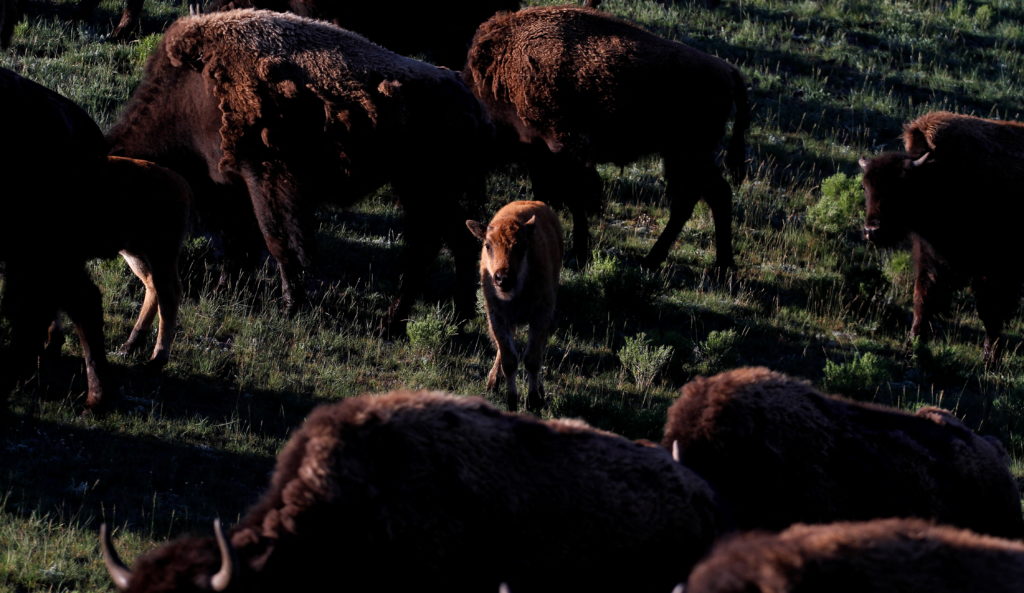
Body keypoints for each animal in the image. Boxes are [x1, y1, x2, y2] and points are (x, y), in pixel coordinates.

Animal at [107, 10, 494, 336]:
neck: (192, 91)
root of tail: (471, 101)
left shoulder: (267, 179)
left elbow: (279, 242)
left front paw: (290, 306)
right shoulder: (236, 186)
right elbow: (238, 241)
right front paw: (228, 290)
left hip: (424, 191)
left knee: (423, 252)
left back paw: (395, 323)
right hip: (430, 193)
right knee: (456, 244)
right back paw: (456, 319)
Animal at [464, 6, 748, 266]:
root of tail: (729, 70)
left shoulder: (562, 149)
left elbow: (574, 197)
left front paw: (579, 253)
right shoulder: (543, 155)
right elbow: (551, 194)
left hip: (689, 155)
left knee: (706, 197)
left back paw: (710, 265)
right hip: (681, 156)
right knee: (700, 199)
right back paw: (665, 261)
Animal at [466, 201, 563, 412]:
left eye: (521, 246)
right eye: (487, 245)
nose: (502, 278)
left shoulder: (540, 315)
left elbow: (532, 359)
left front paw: (533, 401)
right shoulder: (497, 316)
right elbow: (509, 358)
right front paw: (511, 401)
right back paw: (493, 382)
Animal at [861, 111, 1024, 362]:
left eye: (900, 187)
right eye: (866, 187)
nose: (872, 231)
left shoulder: (996, 272)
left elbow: (990, 312)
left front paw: (990, 358)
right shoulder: (932, 260)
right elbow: (923, 299)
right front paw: (913, 343)